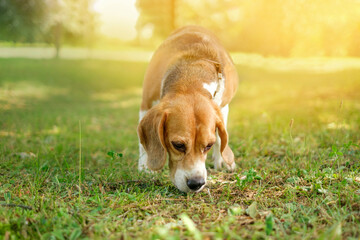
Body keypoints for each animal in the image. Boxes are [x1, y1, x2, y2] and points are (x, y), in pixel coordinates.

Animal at [138, 25, 239, 192]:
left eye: (208, 145)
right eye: (177, 145)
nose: (196, 183)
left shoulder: (222, 108)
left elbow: (220, 138)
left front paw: (223, 160)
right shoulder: (146, 104)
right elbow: (142, 145)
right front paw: (145, 168)